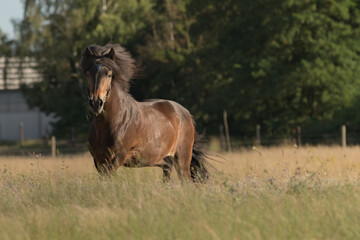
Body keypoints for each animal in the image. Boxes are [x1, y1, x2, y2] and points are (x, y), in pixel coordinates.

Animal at [79, 43, 208, 182]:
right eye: (87, 74)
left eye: (109, 74)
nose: (96, 103)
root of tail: (186, 114)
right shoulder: (98, 161)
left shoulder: (116, 158)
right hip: (164, 161)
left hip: (182, 160)